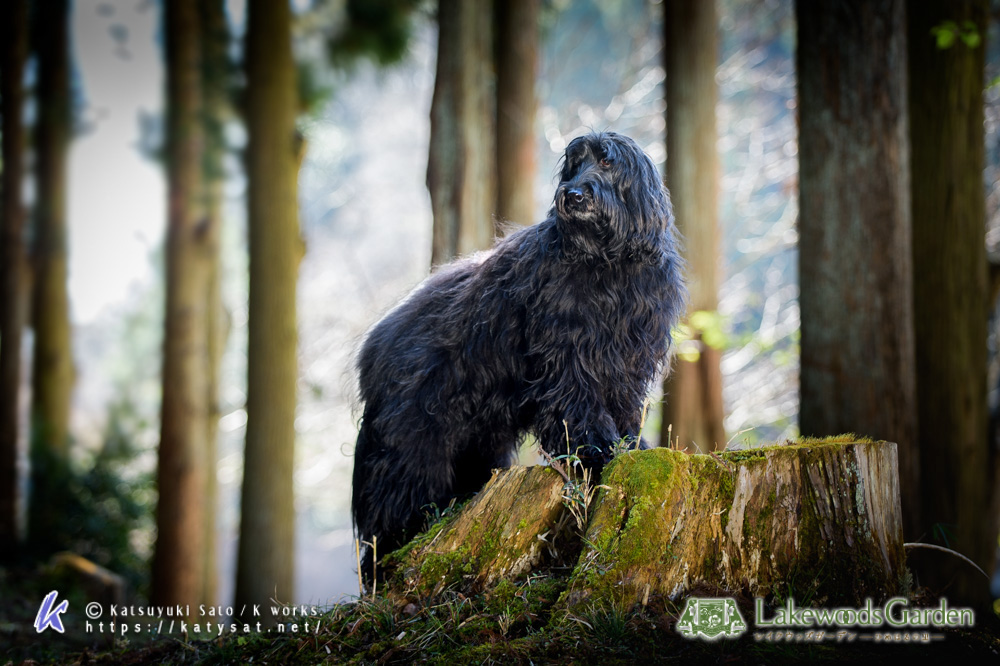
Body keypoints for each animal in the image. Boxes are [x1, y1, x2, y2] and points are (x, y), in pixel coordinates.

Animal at [352, 130, 688, 564]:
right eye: (574, 164)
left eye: (606, 161)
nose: (573, 195)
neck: (606, 261)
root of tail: (373, 346)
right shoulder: (569, 354)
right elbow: (579, 405)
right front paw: (596, 449)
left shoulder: (626, 359)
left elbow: (623, 406)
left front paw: (631, 445)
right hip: (412, 438)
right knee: (392, 498)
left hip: (476, 437)